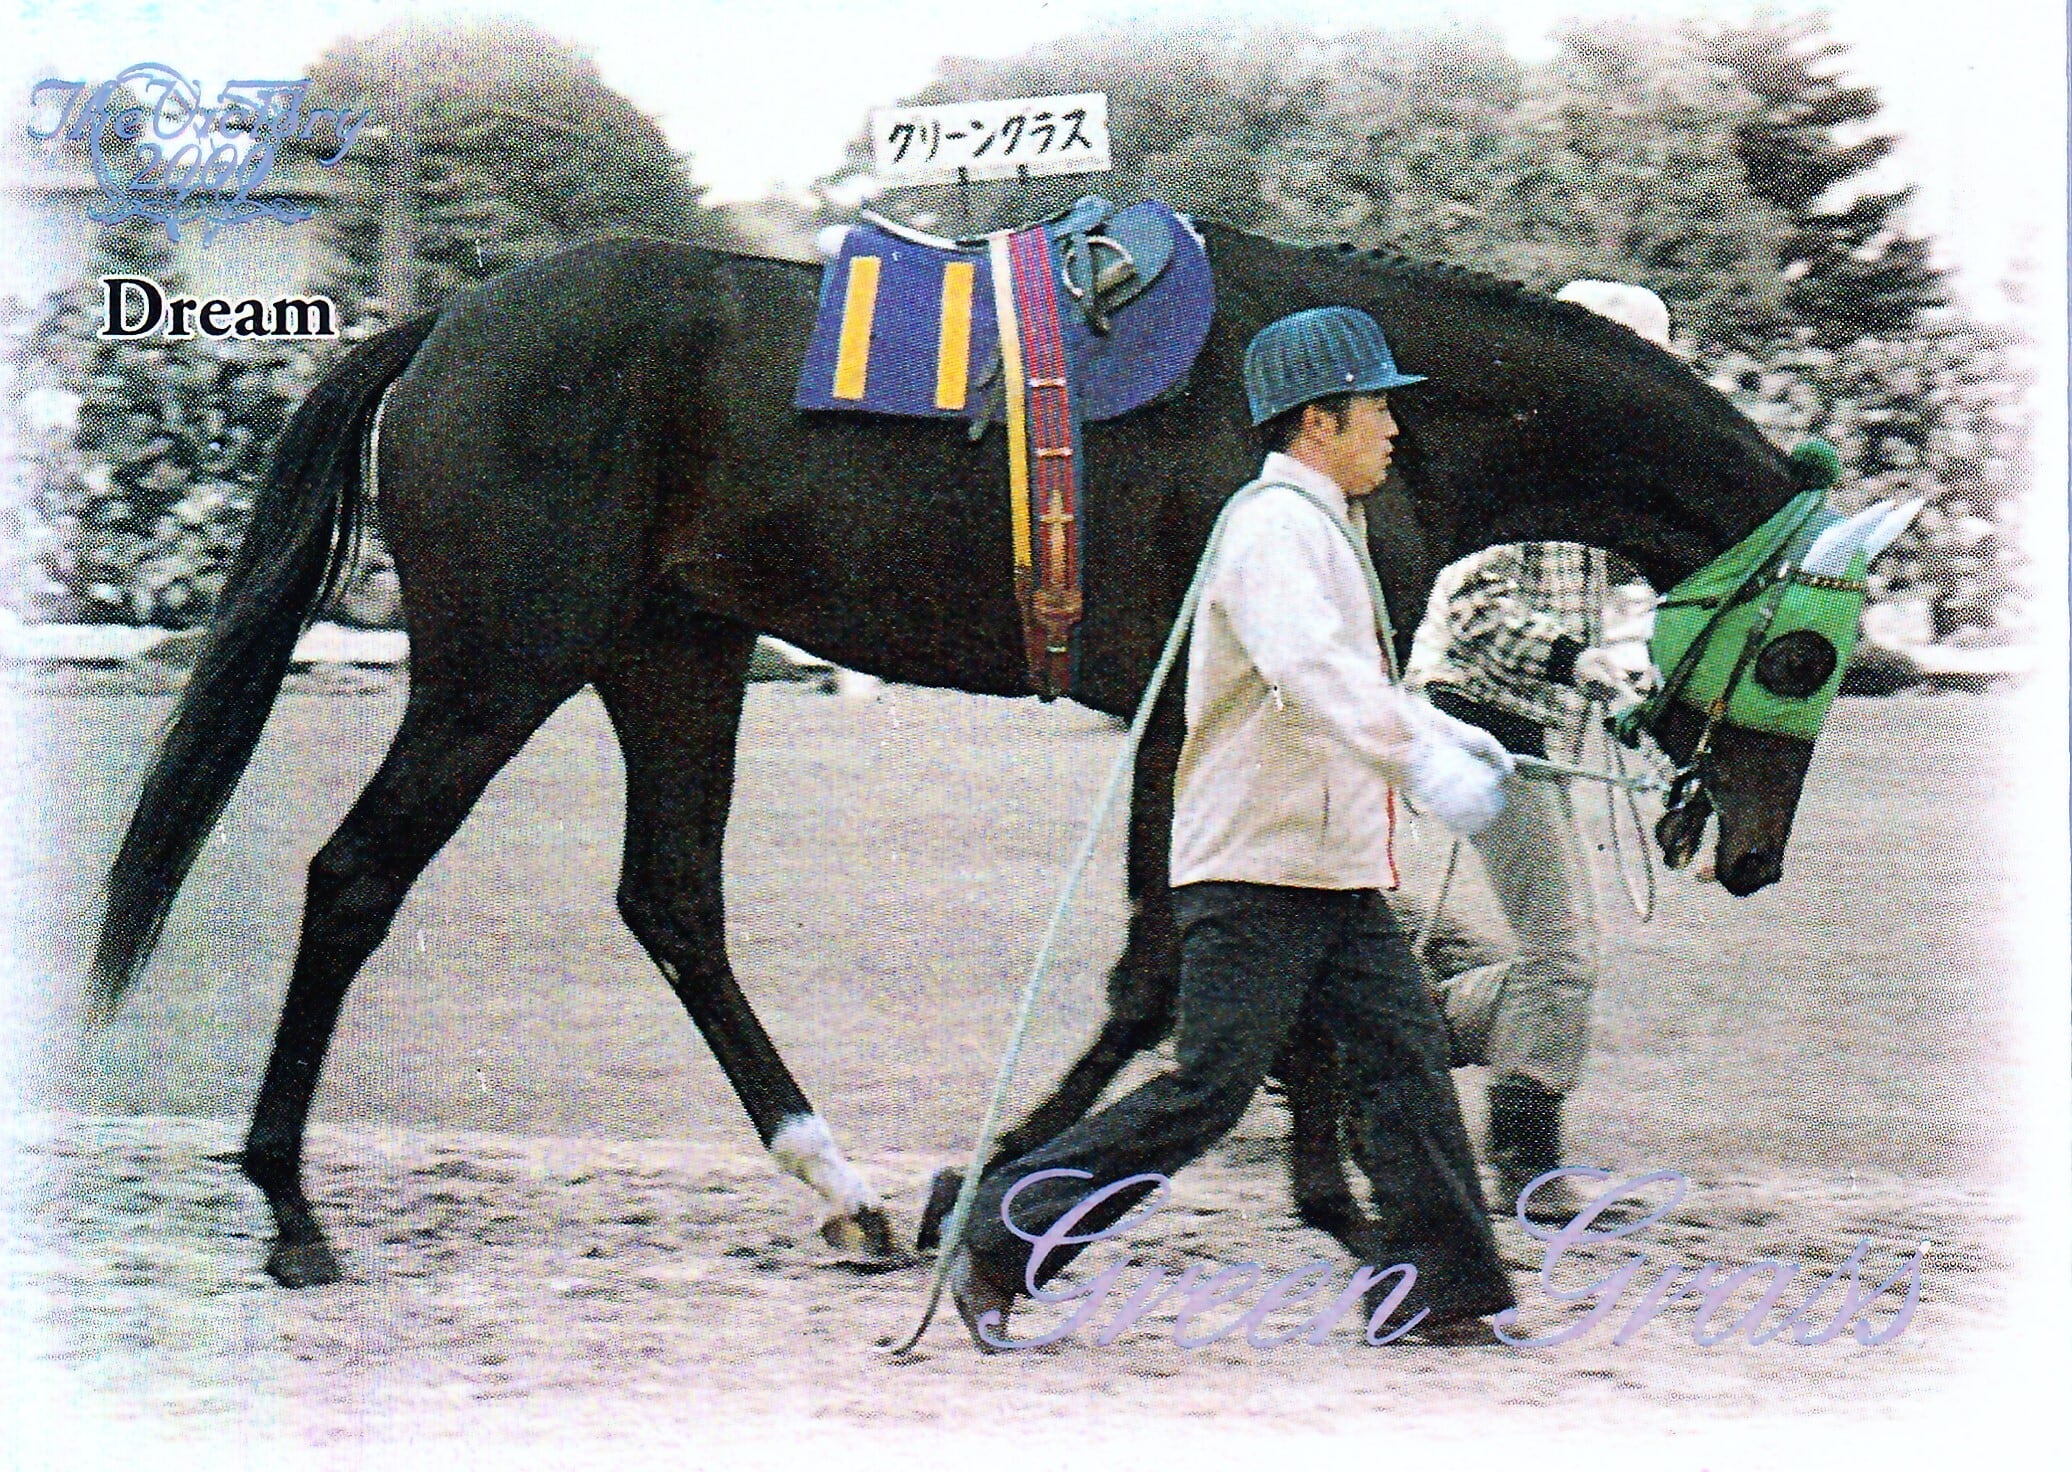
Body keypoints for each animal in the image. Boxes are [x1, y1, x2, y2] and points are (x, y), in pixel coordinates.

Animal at [88, 223, 1838, 1288]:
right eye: (1809, 654)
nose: (1754, 853)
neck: (1363, 405)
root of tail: (448, 316)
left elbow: (1257, 945)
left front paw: (1323, 1197)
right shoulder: (1197, 692)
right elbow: (1171, 966)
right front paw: (1024, 1179)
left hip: (677, 653)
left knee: (672, 901)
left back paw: (838, 1184)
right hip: (506, 660)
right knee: (355, 874)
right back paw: (290, 1203)